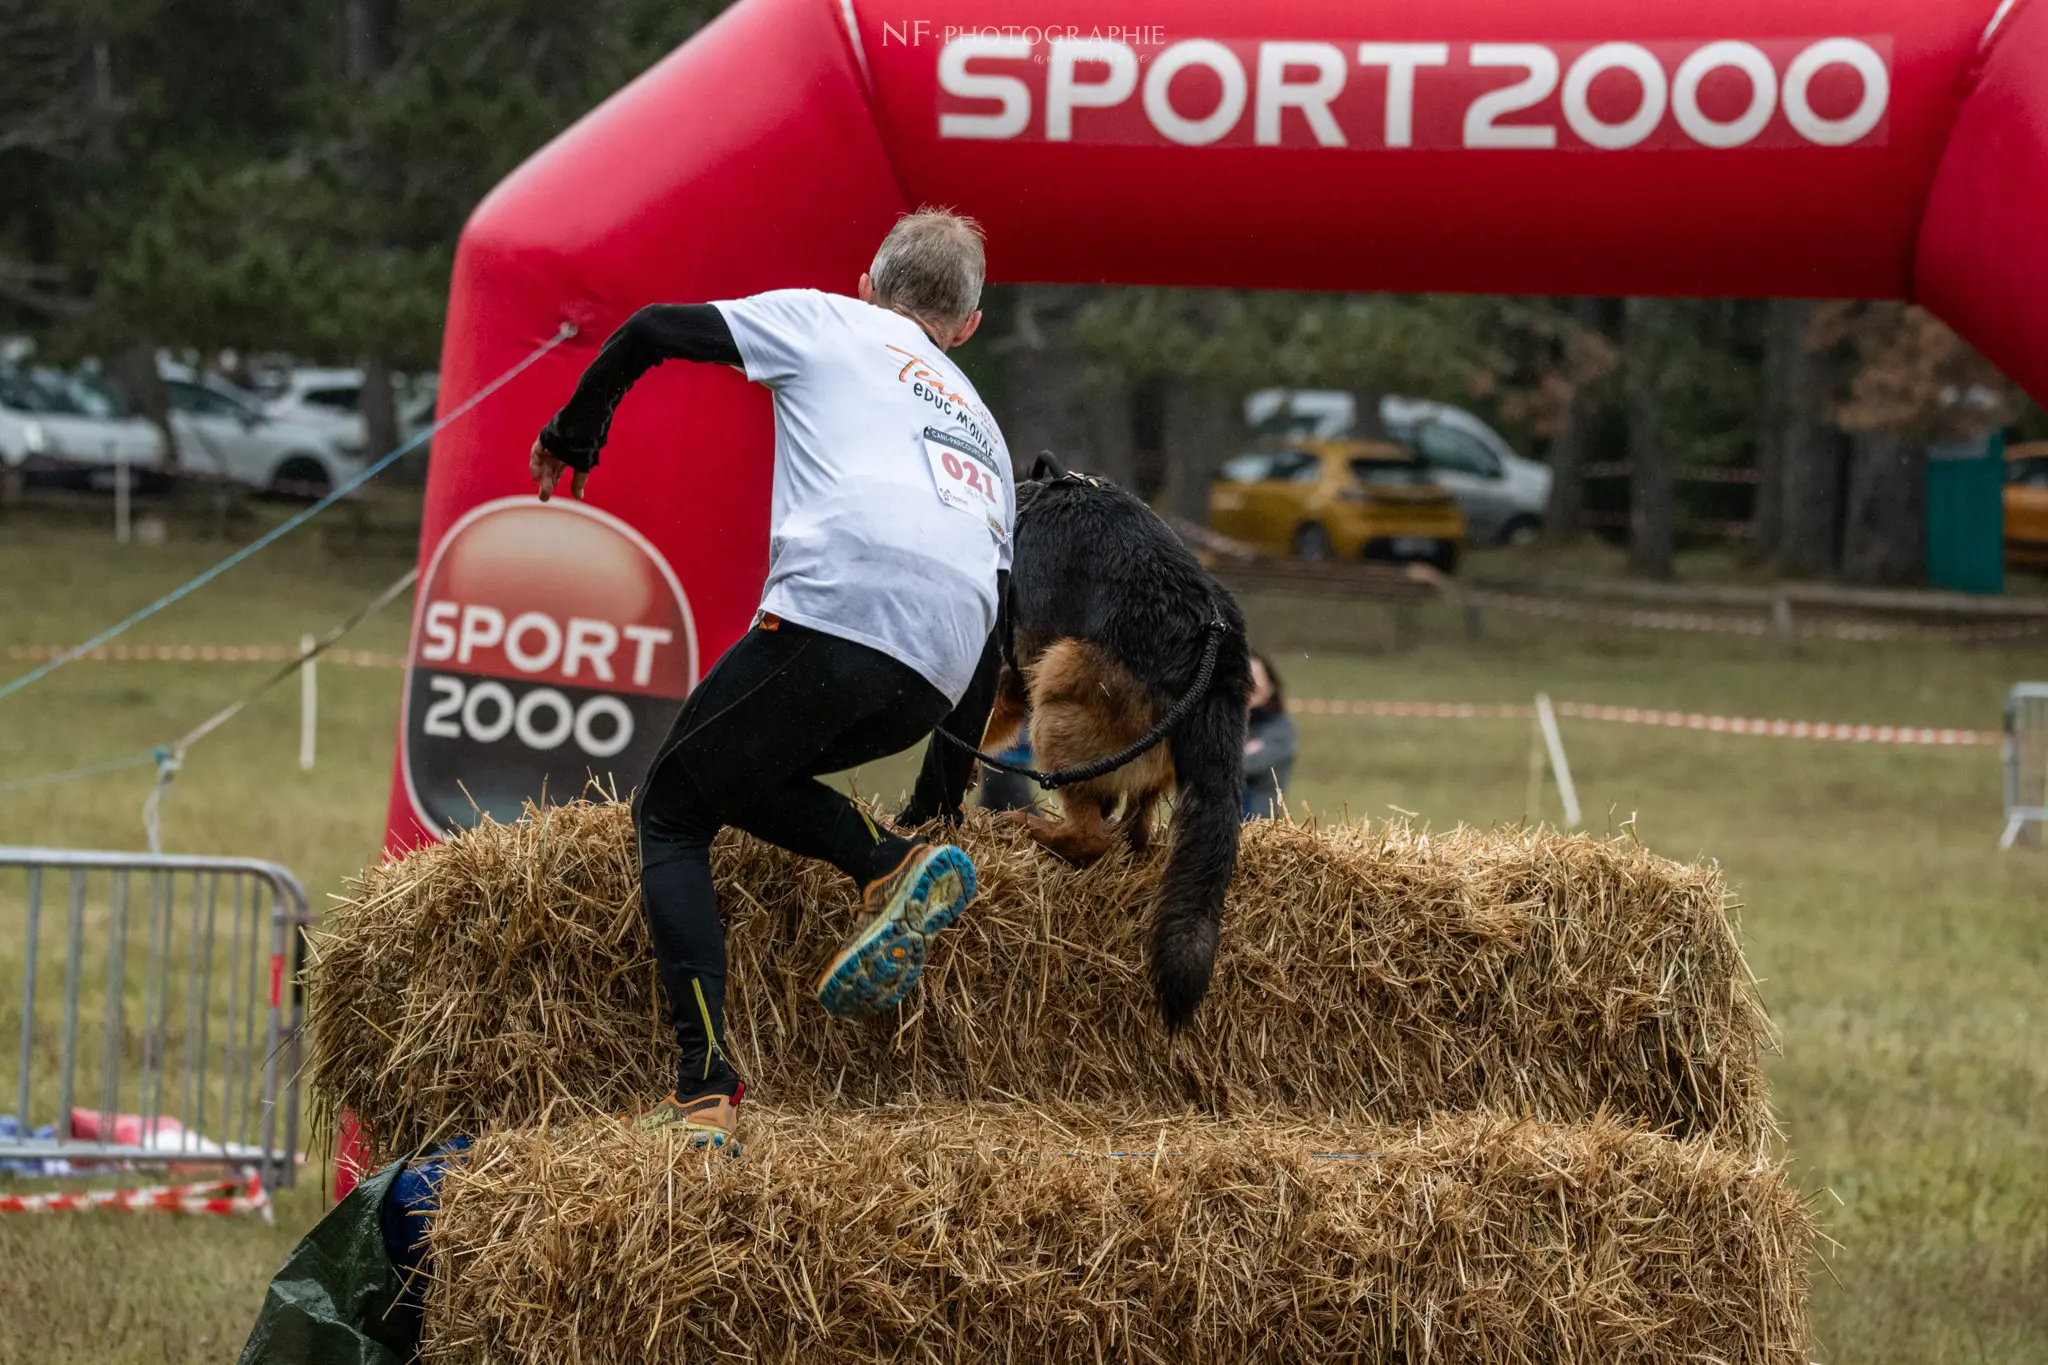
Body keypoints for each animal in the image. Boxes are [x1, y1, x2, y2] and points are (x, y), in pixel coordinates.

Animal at [909, 462, 1245, 1035]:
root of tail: (1211, 657)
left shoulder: (1004, 669)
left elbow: (977, 722)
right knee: (1135, 829)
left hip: (1059, 682)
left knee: (1091, 839)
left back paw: (1028, 828)